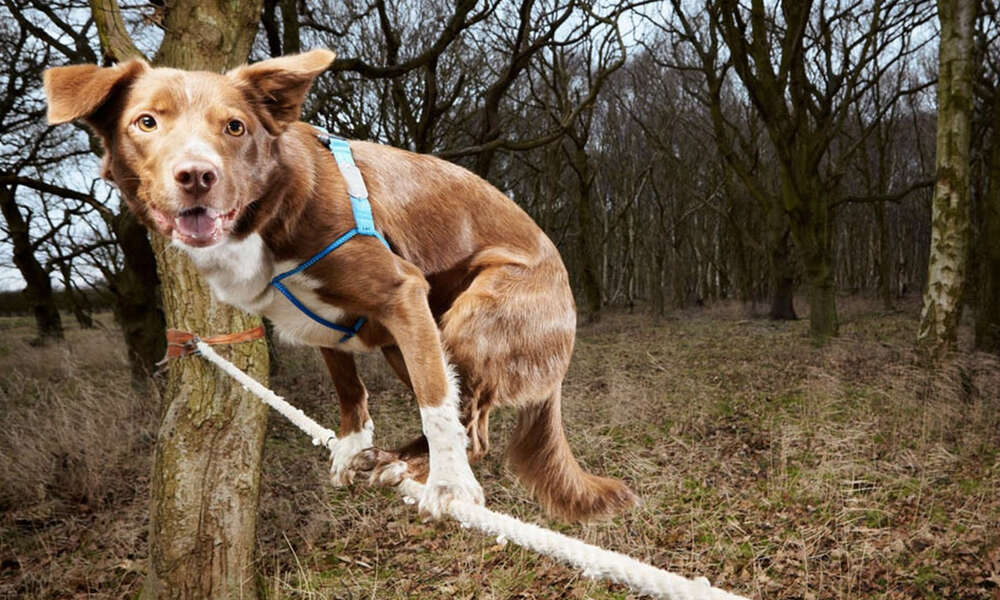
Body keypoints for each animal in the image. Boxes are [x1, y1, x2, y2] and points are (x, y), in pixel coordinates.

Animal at [43, 50, 636, 520]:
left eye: (234, 127)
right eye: (146, 122)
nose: (196, 176)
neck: (270, 211)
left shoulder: (401, 291)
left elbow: (436, 403)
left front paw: (449, 486)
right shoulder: (325, 326)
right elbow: (350, 388)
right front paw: (354, 448)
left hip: (472, 317)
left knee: (470, 426)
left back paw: (419, 469)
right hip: (415, 339)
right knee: (464, 417)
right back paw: (397, 461)